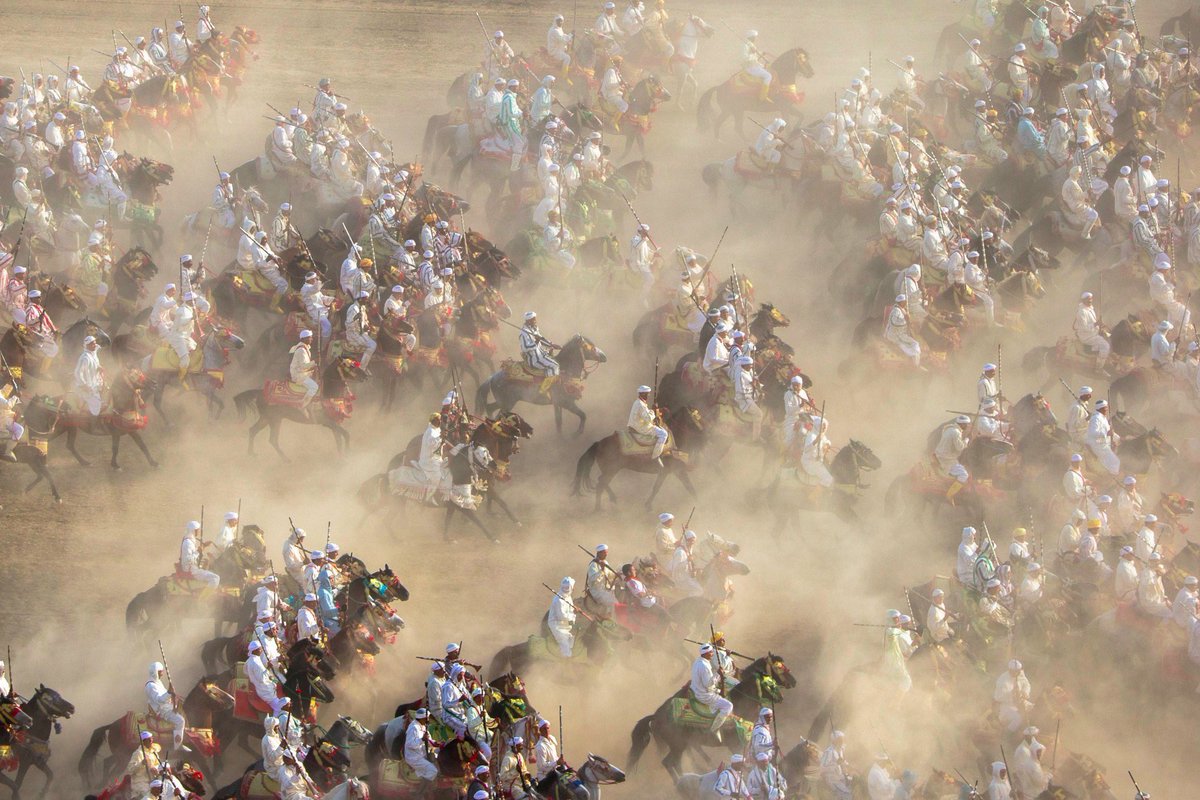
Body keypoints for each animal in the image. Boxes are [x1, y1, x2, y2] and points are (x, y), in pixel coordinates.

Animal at [22, 367, 159, 472]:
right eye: (135, 375)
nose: (154, 383)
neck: (119, 407)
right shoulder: (115, 433)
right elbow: (115, 449)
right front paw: (115, 465)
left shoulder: (132, 431)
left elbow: (142, 446)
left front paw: (153, 462)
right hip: (55, 430)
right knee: (39, 441)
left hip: (68, 428)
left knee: (68, 445)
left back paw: (84, 462)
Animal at [231, 352, 364, 460]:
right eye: (351, 365)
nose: (366, 375)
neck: (328, 392)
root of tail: (259, 392)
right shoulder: (328, 422)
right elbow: (346, 435)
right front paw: (348, 453)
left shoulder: (334, 422)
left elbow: (339, 440)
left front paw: (342, 457)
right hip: (274, 419)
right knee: (272, 439)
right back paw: (285, 459)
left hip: (266, 418)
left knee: (253, 430)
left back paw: (251, 453)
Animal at [475, 338, 604, 438]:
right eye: (589, 346)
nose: (604, 356)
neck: (565, 371)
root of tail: (492, 377)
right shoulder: (566, 402)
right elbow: (582, 415)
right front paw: (575, 434)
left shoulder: (558, 404)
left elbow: (560, 421)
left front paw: (561, 437)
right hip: (507, 404)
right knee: (497, 415)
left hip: (504, 402)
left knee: (490, 408)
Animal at [568, 402, 705, 510]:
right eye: (694, 417)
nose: (703, 432)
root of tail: (599, 443)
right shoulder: (676, 470)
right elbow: (689, 487)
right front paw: (699, 504)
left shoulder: (666, 472)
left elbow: (657, 488)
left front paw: (648, 505)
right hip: (611, 470)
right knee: (601, 483)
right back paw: (599, 507)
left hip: (611, 470)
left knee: (601, 482)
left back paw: (611, 499)